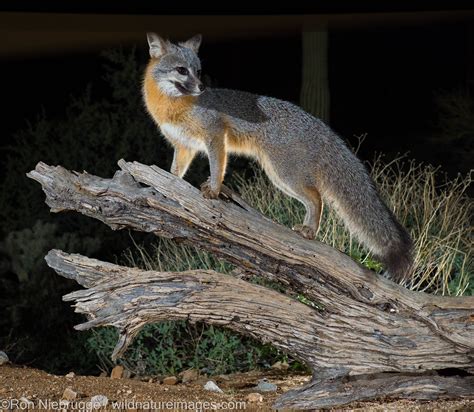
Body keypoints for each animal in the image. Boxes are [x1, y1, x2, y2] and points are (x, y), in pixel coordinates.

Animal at [143, 33, 412, 282]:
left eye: (198, 71)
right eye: (182, 70)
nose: (201, 87)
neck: (173, 107)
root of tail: (317, 124)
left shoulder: (216, 135)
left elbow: (217, 167)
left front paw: (214, 189)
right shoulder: (184, 146)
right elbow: (176, 172)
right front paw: (166, 186)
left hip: (284, 175)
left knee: (317, 198)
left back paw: (309, 232)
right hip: (279, 176)